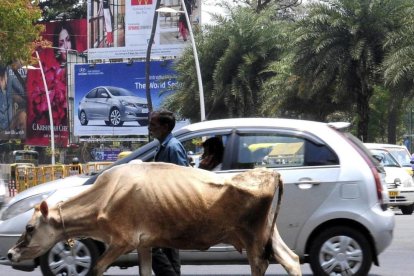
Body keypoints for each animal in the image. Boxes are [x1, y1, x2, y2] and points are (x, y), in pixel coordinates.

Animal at [6, 163, 300, 274]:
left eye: (30, 228)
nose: (10, 253)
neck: (105, 195)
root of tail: (270, 172)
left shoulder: (123, 241)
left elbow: (97, 266)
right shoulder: (145, 244)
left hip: (253, 237)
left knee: (260, 264)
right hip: (267, 233)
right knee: (291, 260)